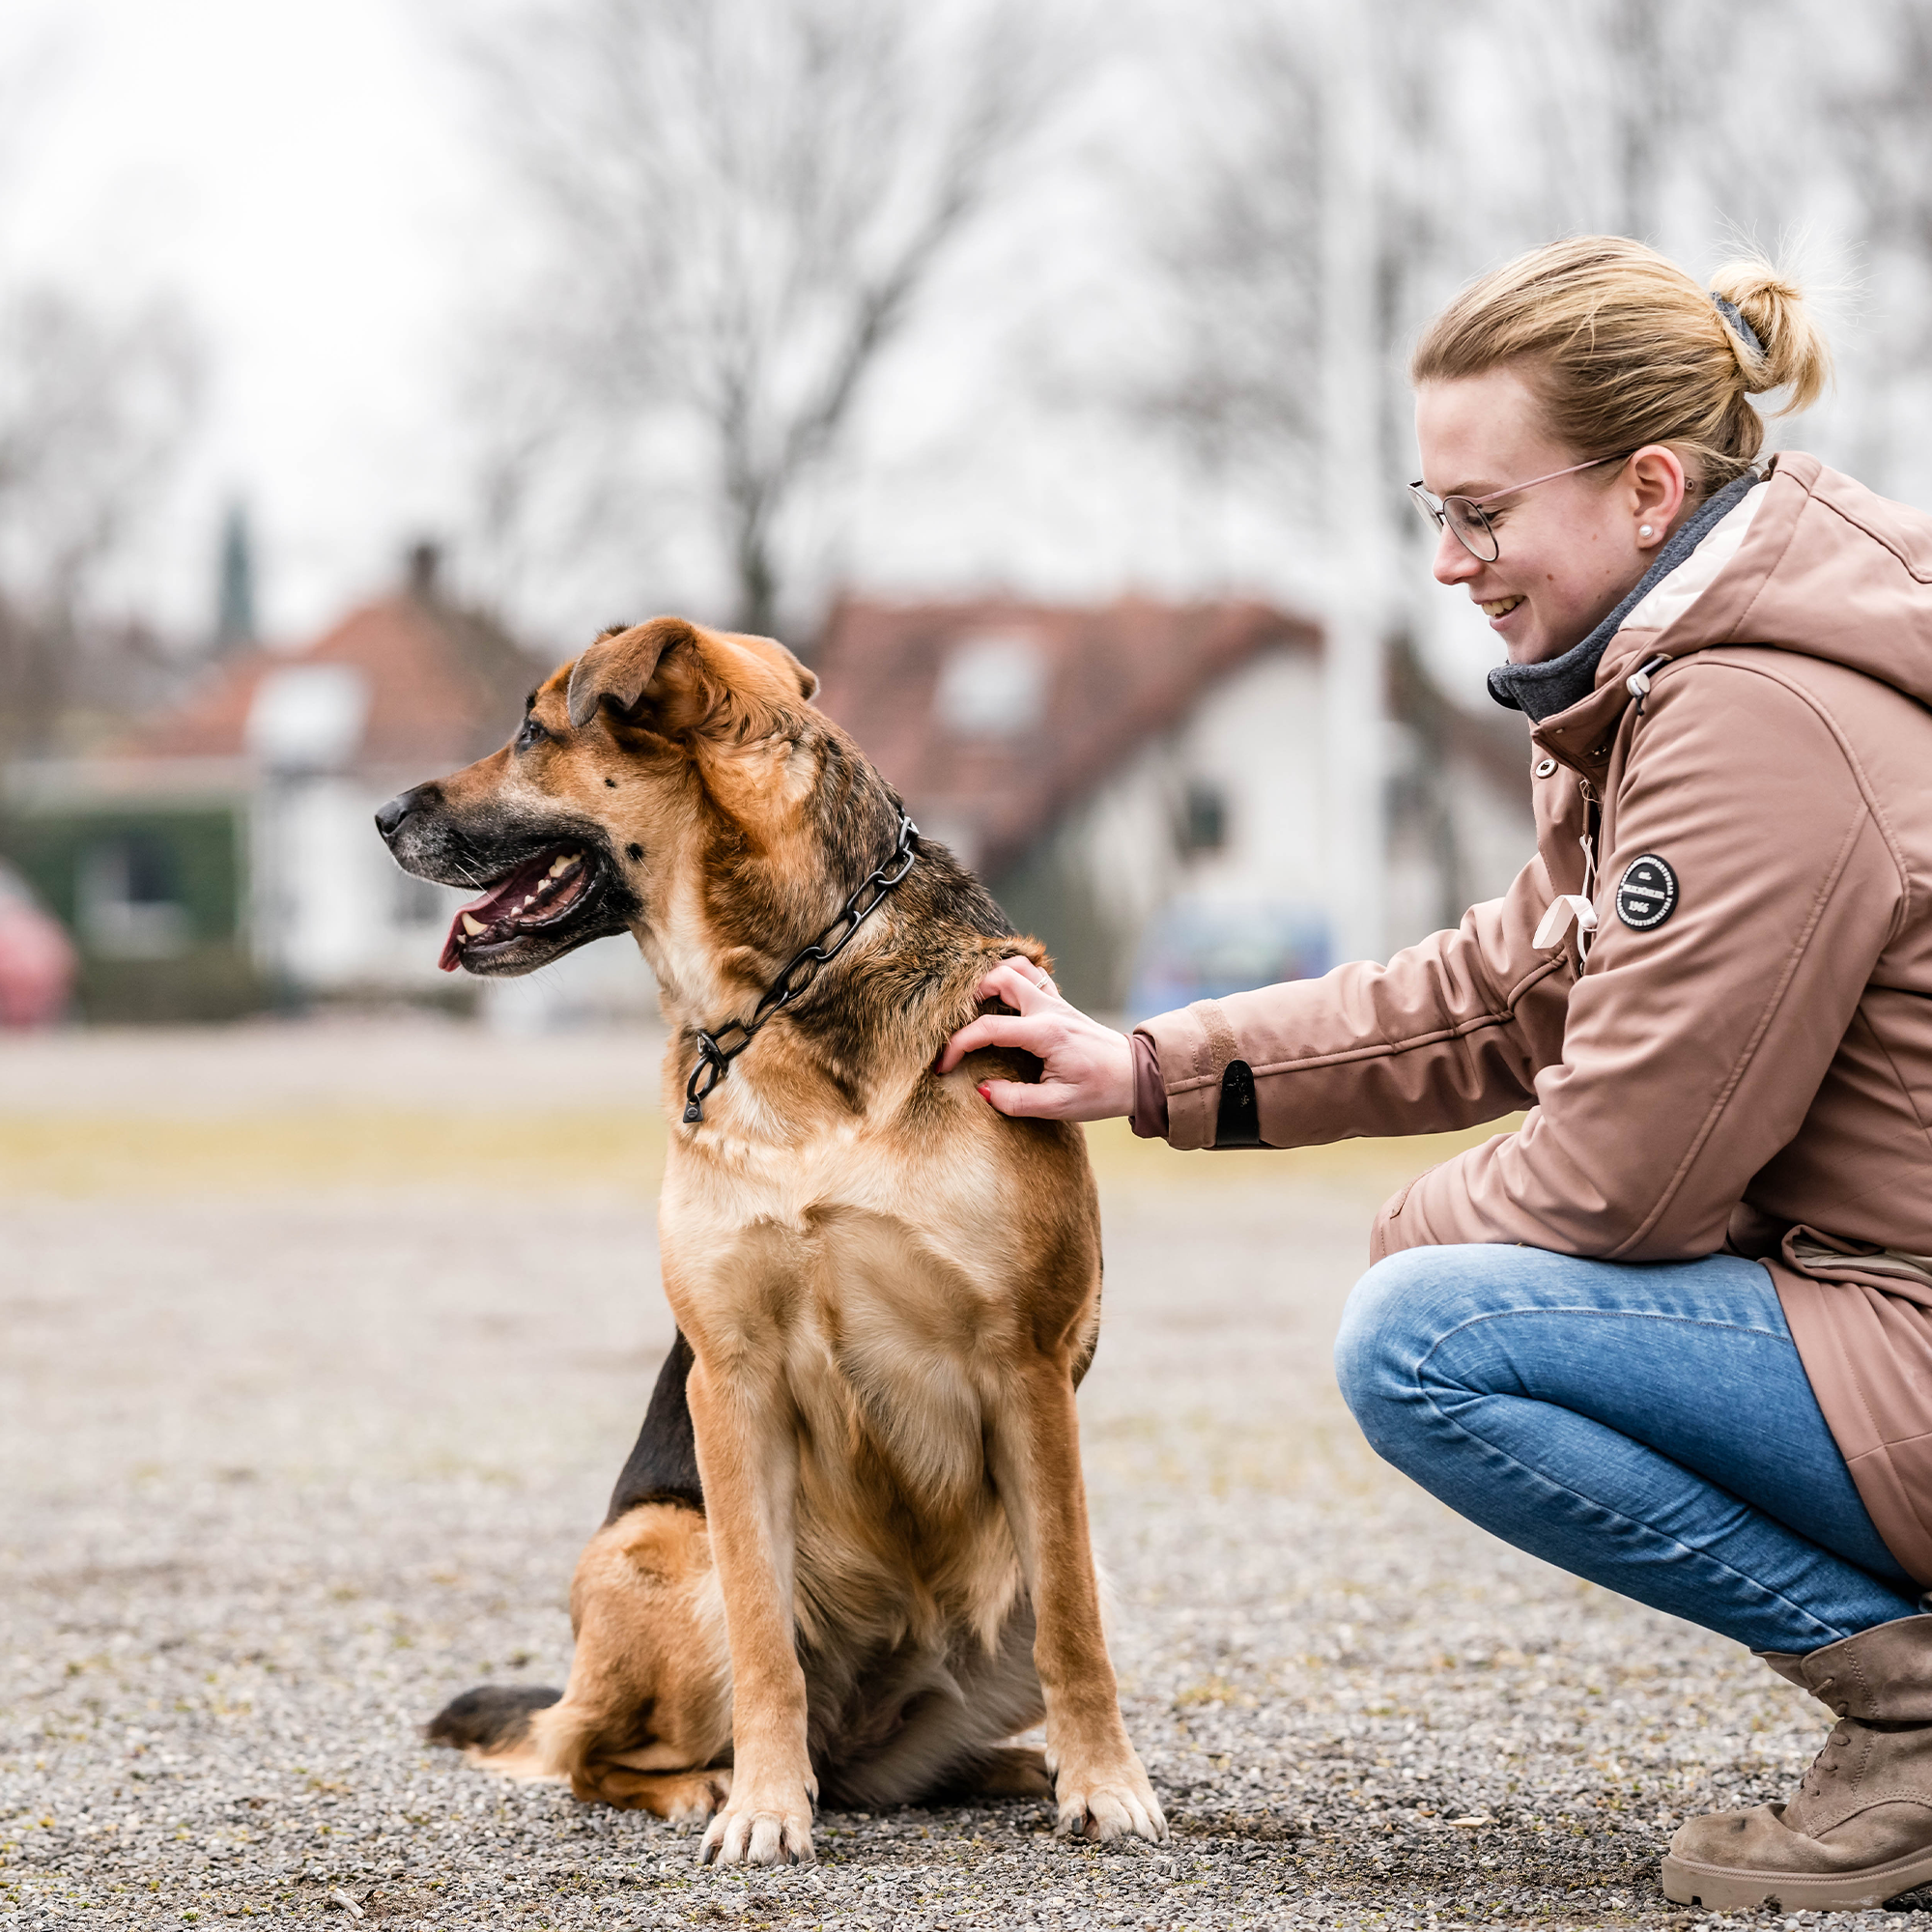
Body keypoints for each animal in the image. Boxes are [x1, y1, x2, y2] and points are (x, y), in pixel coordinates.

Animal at [375, 611, 1159, 1862]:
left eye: (533, 729)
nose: (382, 815)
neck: (789, 992)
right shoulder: (730, 1380)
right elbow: (760, 1635)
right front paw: (761, 1807)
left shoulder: (1026, 1368)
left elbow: (1074, 1630)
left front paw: (1102, 1782)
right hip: (653, 1544)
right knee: (589, 1753)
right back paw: (718, 1780)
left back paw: (1010, 1766)